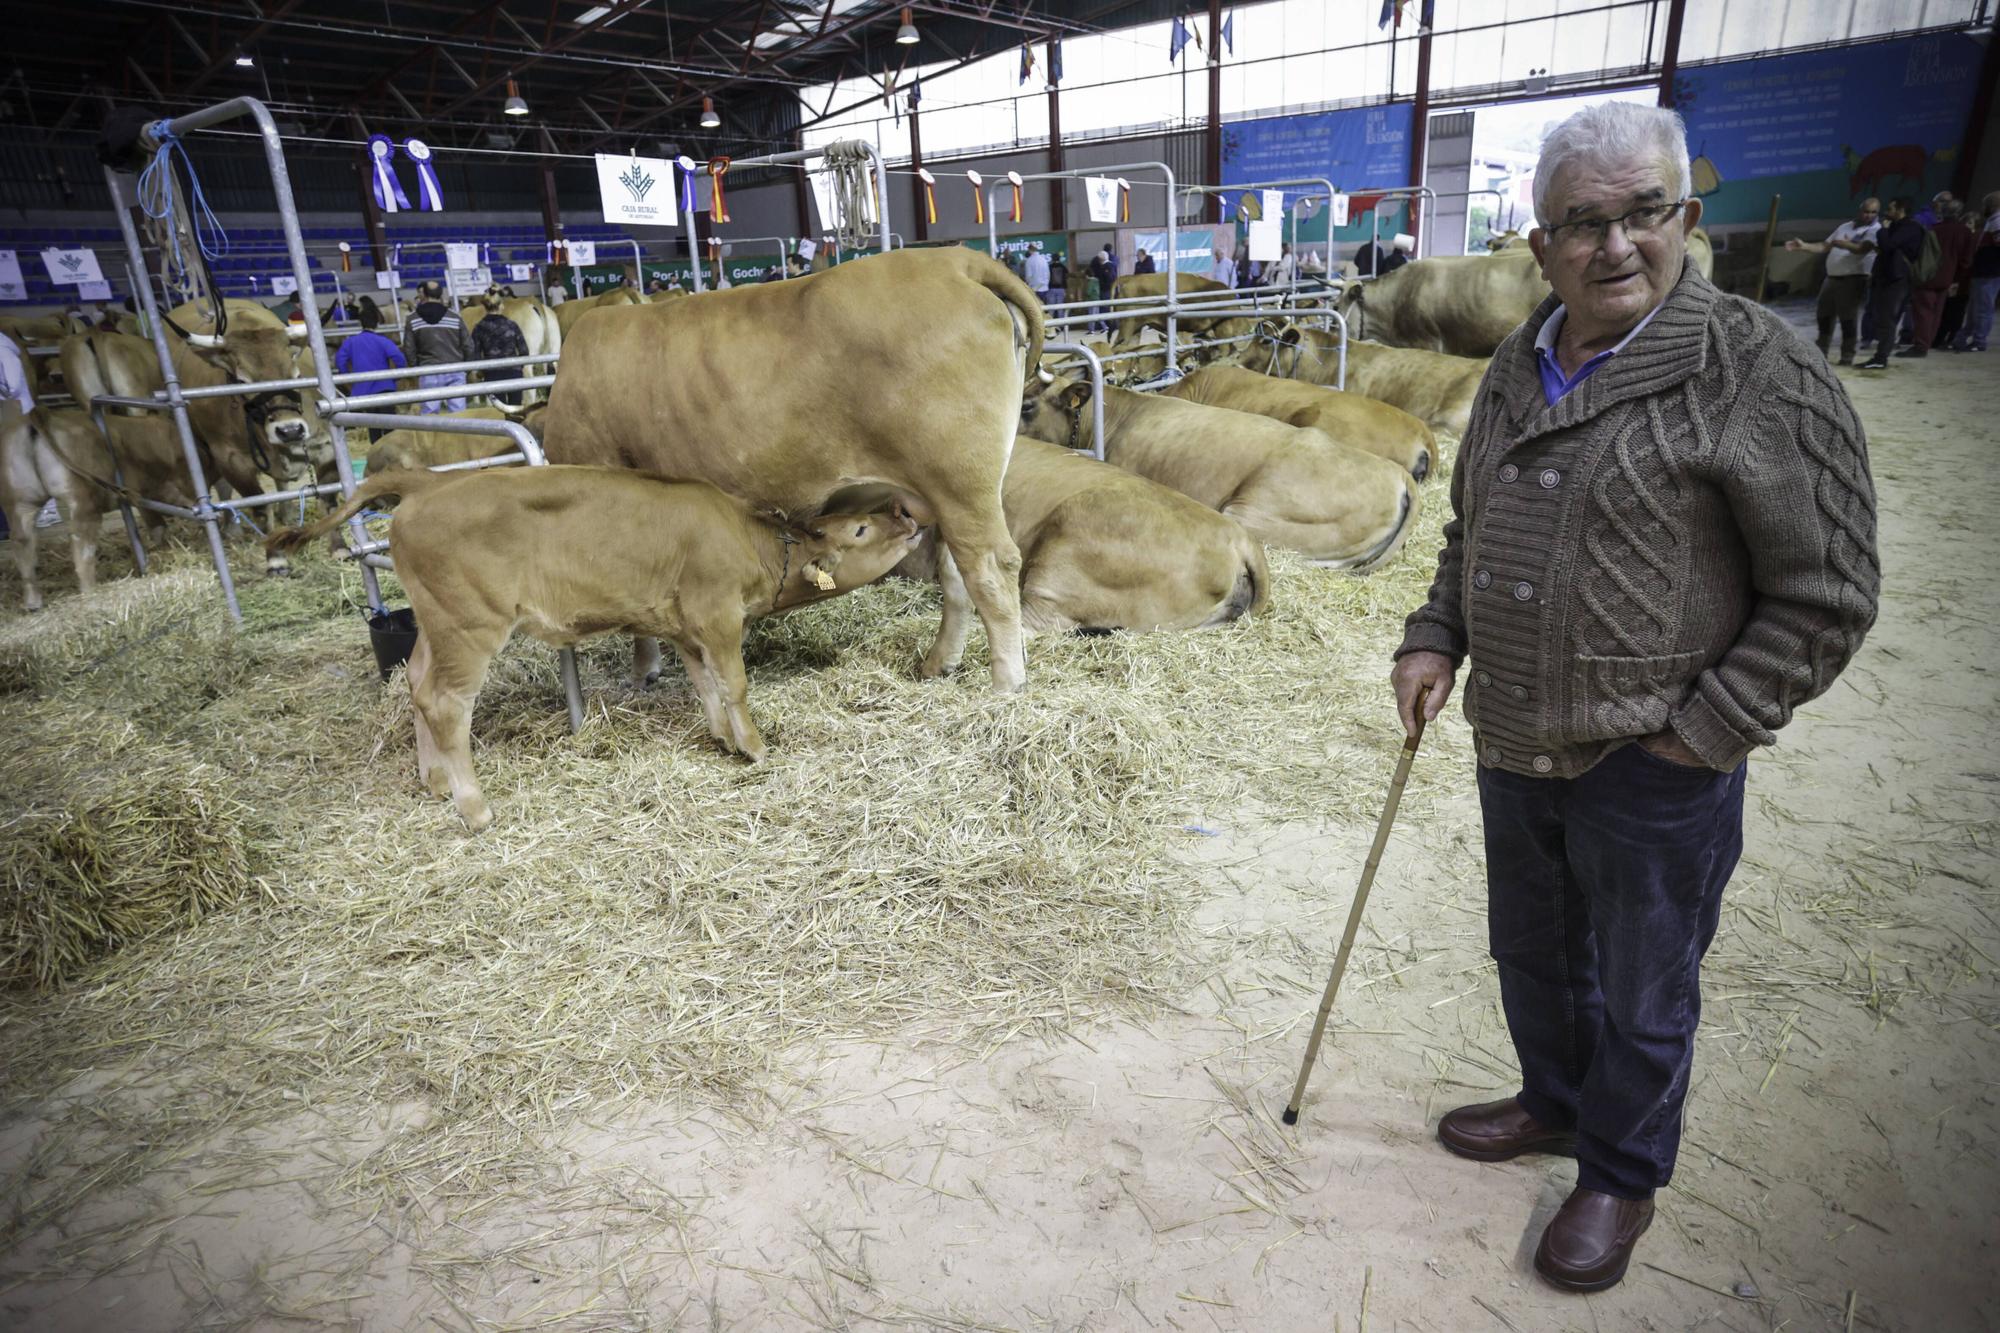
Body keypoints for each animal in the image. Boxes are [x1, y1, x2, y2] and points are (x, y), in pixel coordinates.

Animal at [262, 462, 924, 824]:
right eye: (860, 527)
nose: (907, 513)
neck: (747, 539)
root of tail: (427, 484)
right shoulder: (716, 613)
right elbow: (733, 683)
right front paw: (757, 748)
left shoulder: (683, 625)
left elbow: (706, 684)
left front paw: (722, 739)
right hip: (470, 624)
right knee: (445, 702)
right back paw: (474, 807)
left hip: (435, 622)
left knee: (415, 681)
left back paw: (436, 780)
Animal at [548, 243, 1048, 688]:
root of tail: (955, 259)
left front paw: (643, 671)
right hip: (953, 491)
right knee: (957, 573)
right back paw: (941, 662)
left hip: (958, 480)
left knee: (991, 567)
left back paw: (1007, 683)